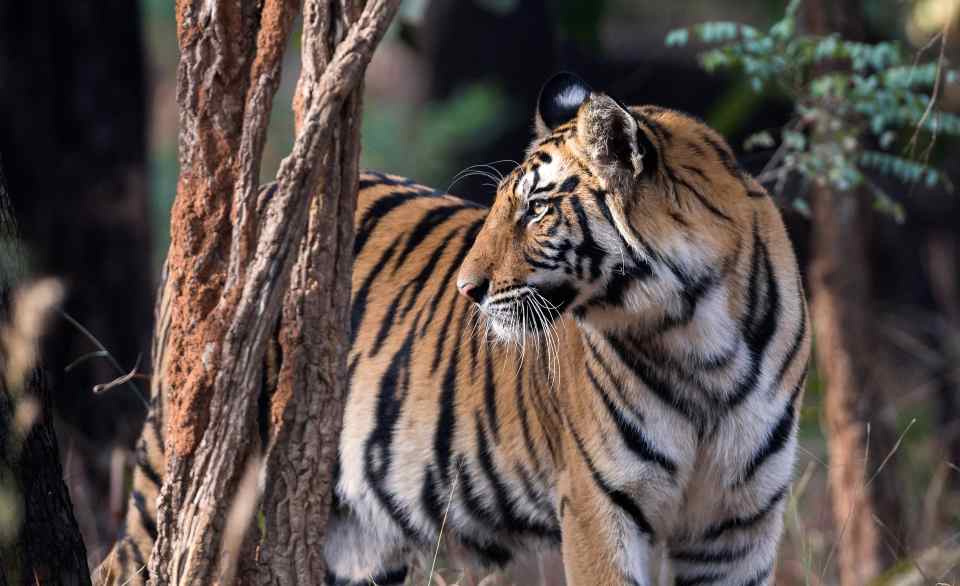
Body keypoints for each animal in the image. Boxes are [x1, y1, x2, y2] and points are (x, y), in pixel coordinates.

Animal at [97, 72, 809, 586]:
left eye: (537, 209)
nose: (469, 290)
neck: (698, 338)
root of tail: (261, 196)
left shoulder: (739, 526)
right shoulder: (600, 506)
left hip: (358, 540)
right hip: (188, 469)